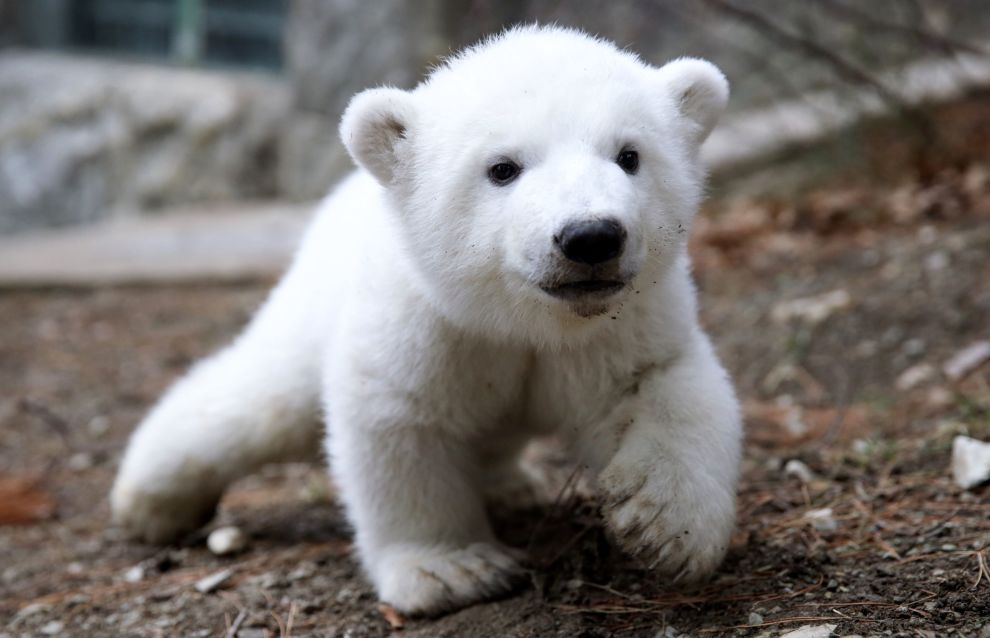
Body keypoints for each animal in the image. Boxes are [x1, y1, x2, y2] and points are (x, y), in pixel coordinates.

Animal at [110, 25, 742, 616]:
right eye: (502, 168)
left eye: (629, 155)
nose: (591, 237)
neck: (522, 321)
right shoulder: (426, 327)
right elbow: (399, 424)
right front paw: (451, 570)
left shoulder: (624, 323)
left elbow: (670, 382)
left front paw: (666, 524)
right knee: (256, 401)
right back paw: (149, 500)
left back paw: (512, 487)